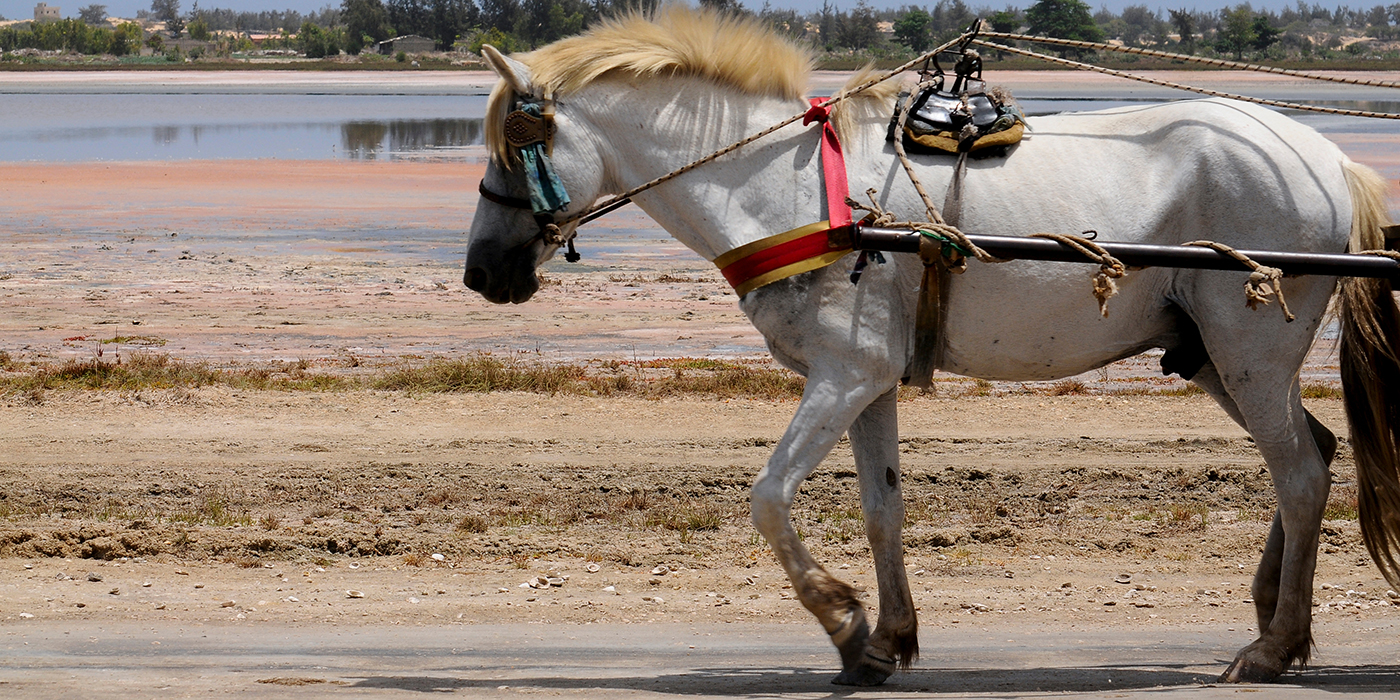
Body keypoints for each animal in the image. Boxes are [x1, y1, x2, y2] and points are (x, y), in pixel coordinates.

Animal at [462, 7, 1400, 687]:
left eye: (519, 142)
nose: (481, 272)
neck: (792, 184)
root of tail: (1324, 158)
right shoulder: (869, 381)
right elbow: (882, 508)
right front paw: (887, 638)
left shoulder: (844, 373)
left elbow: (770, 497)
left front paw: (841, 621)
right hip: (1212, 355)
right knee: (1312, 453)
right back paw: (1273, 612)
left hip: (1250, 351)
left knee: (1302, 474)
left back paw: (1275, 646)